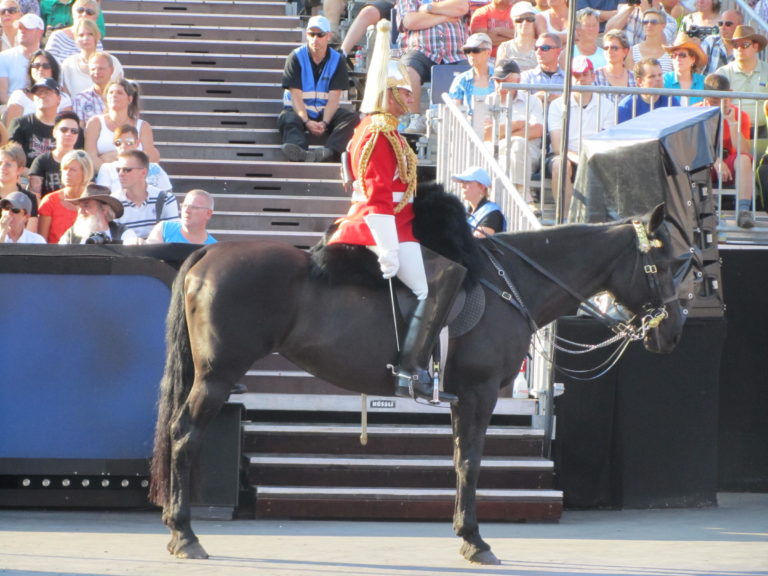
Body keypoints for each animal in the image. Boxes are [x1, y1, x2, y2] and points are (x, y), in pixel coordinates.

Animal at [148, 205, 684, 564]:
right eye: (665, 265)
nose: (673, 330)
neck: (510, 283)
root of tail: (206, 254)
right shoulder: (479, 394)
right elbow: (470, 462)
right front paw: (475, 540)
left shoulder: (461, 397)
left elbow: (458, 459)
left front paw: (464, 533)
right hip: (217, 376)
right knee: (184, 436)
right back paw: (185, 533)